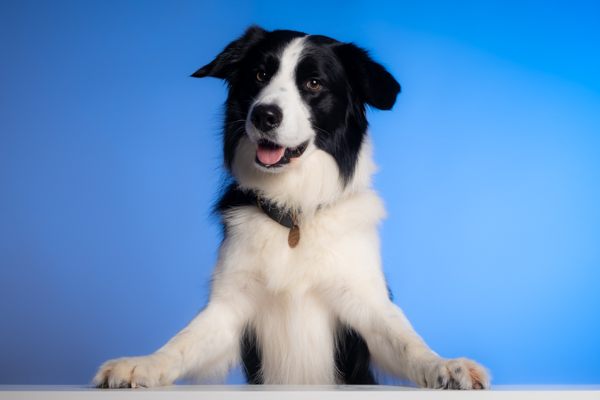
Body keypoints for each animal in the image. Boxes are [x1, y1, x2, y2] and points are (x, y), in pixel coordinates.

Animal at [92, 25, 488, 390]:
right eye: (259, 75)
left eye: (313, 83)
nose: (263, 115)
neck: (294, 209)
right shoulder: (229, 307)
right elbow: (182, 342)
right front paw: (140, 364)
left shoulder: (366, 306)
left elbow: (407, 343)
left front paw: (447, 366)